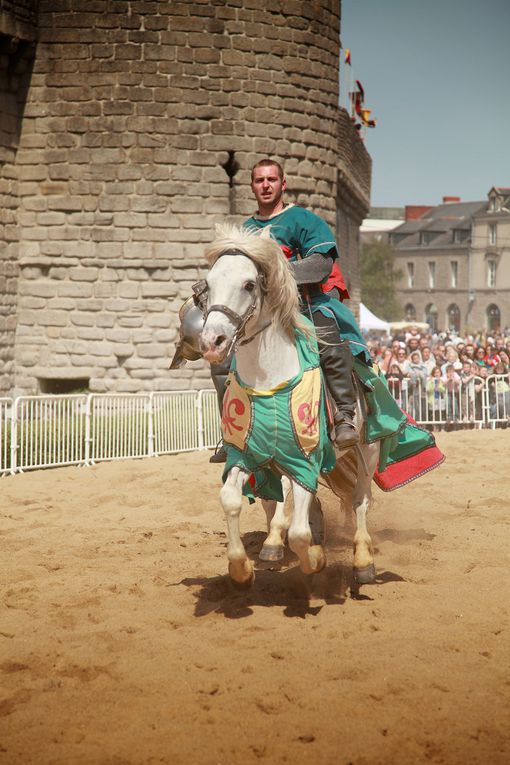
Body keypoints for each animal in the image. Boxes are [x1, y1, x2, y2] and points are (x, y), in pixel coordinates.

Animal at [198, 224, 378, 588]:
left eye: (249, 284)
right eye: (207, 285)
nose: (212, 342)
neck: (269, 380)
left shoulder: (304, 459)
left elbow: (298, 532)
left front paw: (315, 560)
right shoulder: (247, 456)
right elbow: (232, 500)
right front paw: (241, 567)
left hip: (368, 450)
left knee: (361, 500)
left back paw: (363, 561)